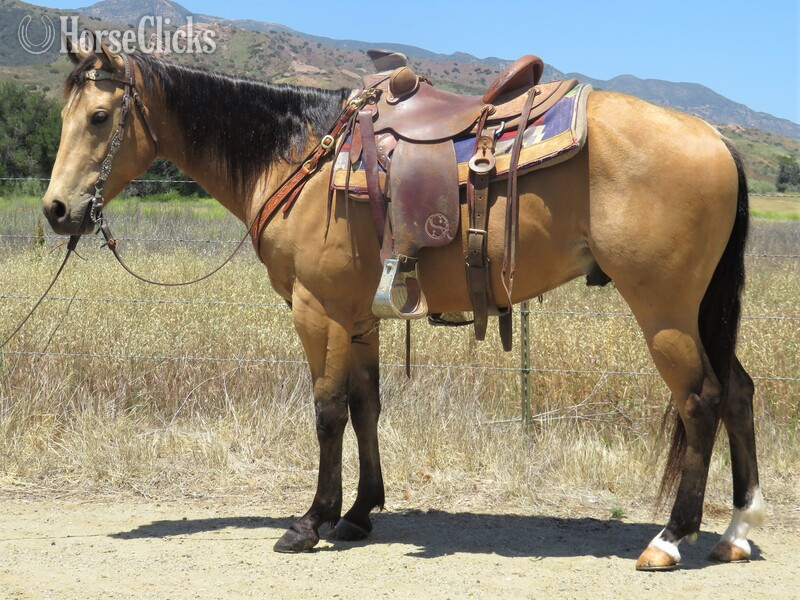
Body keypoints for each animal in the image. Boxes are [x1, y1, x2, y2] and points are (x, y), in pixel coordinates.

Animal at [41, 41, 762, 570]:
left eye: (99, 118)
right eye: (62, 117)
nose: (57, 210)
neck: (300, 158)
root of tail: (715, 138)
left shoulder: (319, 309)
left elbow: (328, 411)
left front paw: (310, 521)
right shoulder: (359, 316)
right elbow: (367, 405)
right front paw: (360, 513)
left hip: (665, 310)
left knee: (700, 400)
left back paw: (669, 539)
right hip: (700, 311)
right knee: (737, 391)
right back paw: (735, 530)